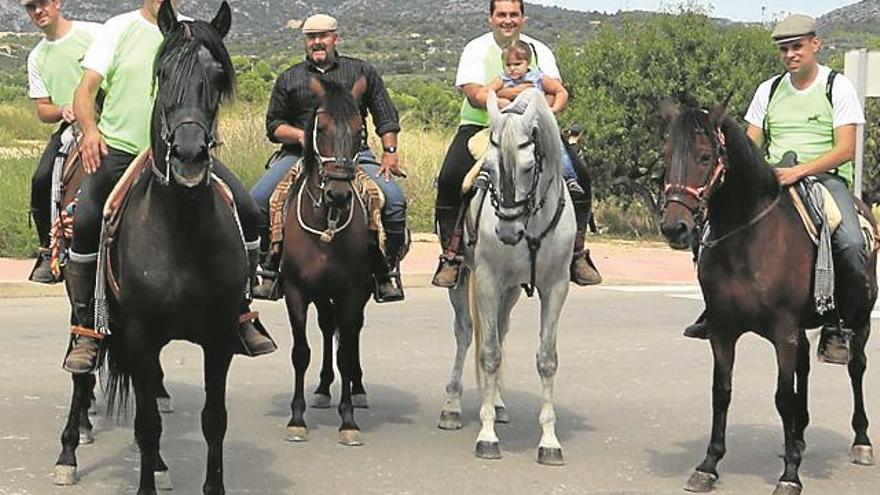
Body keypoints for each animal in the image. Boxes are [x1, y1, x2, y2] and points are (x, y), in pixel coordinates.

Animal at [276, 76, 370, 446]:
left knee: (351, 335)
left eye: (360, 130)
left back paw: (356, 388)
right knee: (329, 327)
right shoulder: (296, 290)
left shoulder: (351, 291)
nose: (339, 194)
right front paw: (296, 418)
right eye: (322, 127)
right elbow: (300, 352)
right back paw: (323, 387)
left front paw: (349, 422)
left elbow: (346, 351)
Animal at [664, 101, 876, 495]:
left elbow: (782, 397)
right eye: (668, 154)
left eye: (705, 156)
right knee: (805, 368)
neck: (748, 240)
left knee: (857, 367)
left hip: (858, 319)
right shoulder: (722, 331)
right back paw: (800, 438)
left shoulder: (783, 331)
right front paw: (709, 464)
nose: (675, 227)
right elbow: (722, 391)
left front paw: (790, 475)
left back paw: (861, 441)